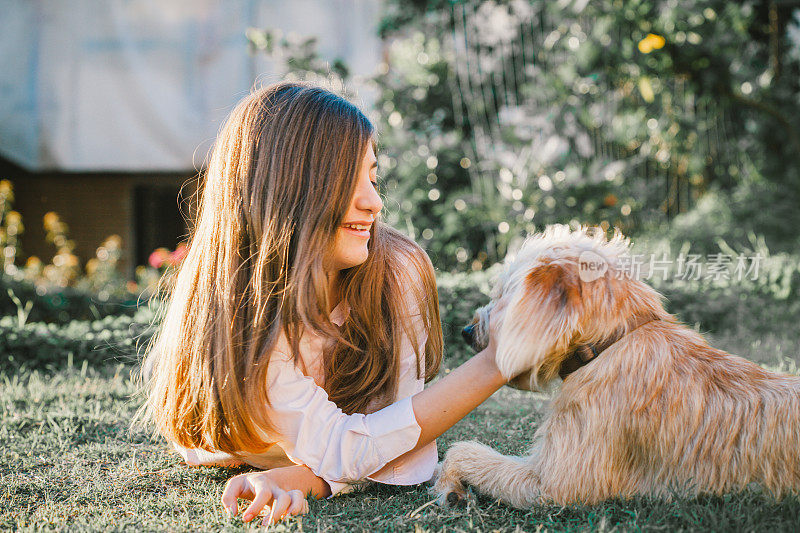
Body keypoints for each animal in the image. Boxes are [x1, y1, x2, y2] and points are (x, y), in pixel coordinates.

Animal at [434, 222, 796, 504]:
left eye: (500, 297)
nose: (466, 331)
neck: (610, 343)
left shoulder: (557, 483)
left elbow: (464, 451)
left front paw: (446, 482)